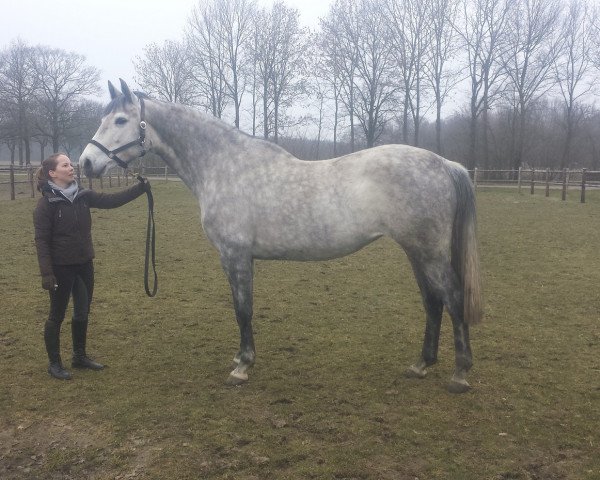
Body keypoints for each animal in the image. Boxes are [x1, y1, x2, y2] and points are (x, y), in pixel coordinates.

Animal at [79, 79, 482, 394]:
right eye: (101, 119)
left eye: (120, 119)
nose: (85, 163)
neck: (225, 166)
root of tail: (445, 164)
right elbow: (241, 308)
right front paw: (241, 359)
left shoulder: (236, 256)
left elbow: (243, 309)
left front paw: (242, 366)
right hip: (416, 251)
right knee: (432, 302)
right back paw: (420, 365)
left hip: (428, 252)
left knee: (452, 297)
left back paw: (460, 375)